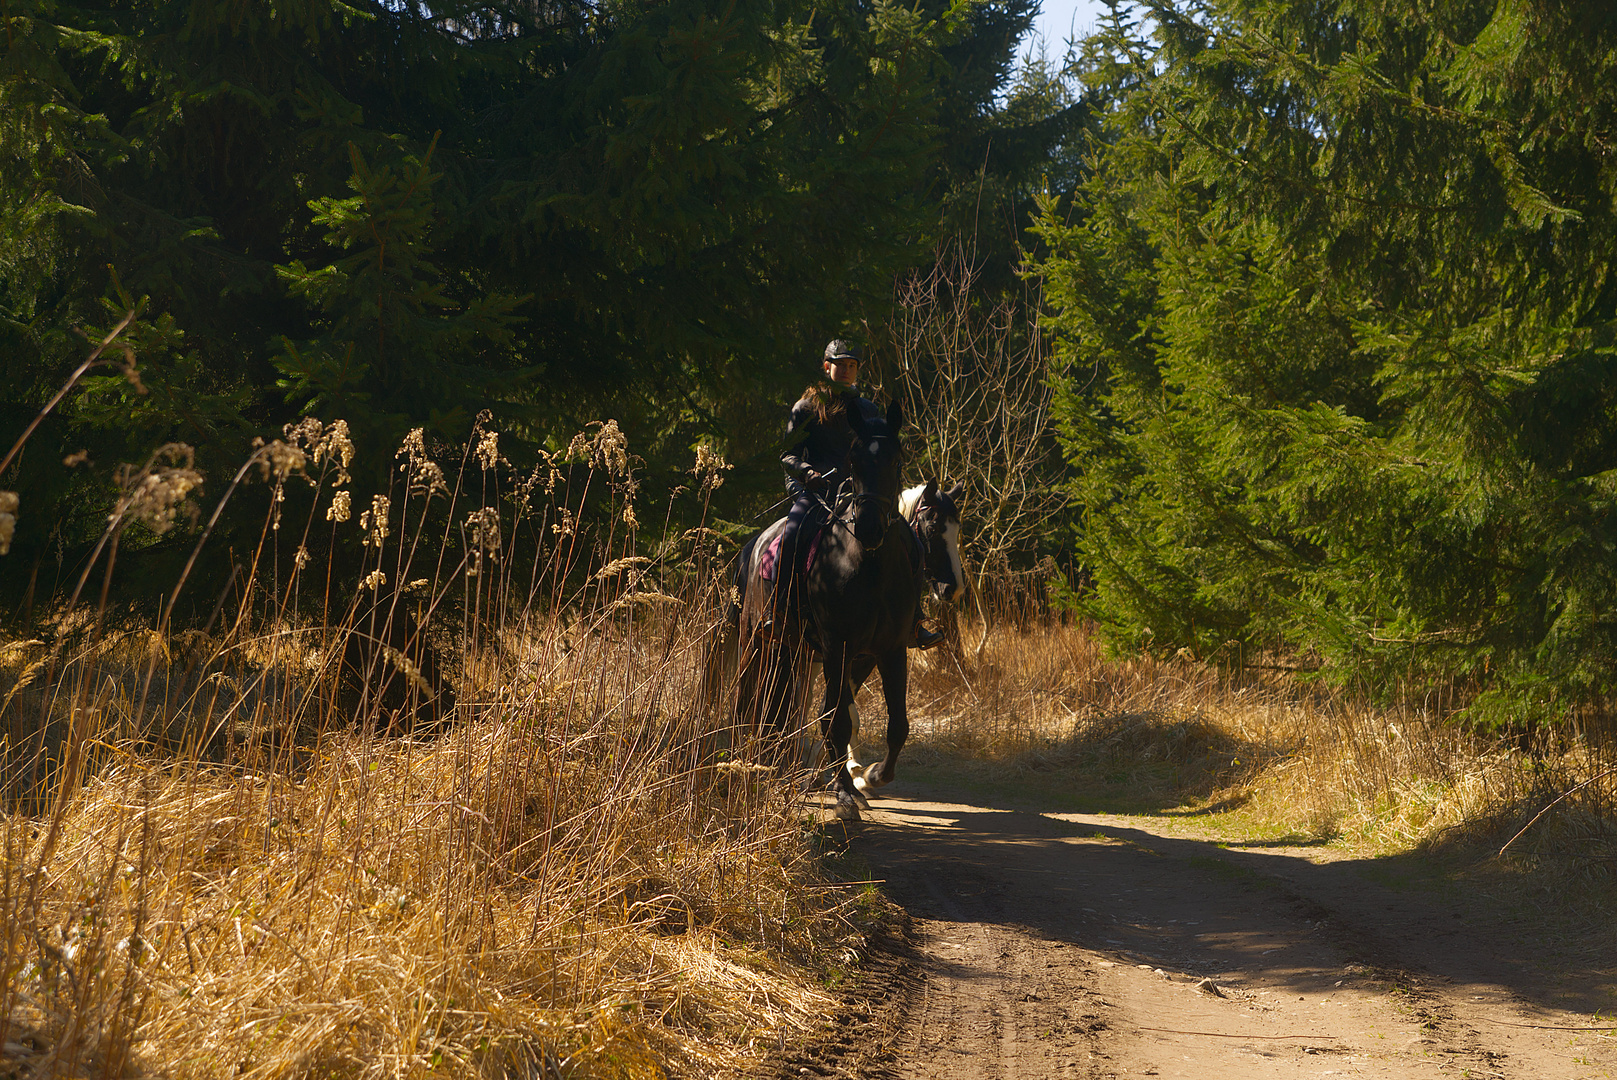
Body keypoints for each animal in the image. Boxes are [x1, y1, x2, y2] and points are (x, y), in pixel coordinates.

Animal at [727, 394, 944, 818]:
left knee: (777, 711)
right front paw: (844, 794)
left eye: (896, 460)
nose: (870, 527)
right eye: (855, 461)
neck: (870, 566)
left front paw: (872, 775)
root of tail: (753, 547)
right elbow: (837, 720)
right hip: (755, 643)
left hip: (790, 650)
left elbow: (897, 725)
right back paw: (744, 761)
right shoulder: (837, 647)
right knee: (748, 700)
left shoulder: (890, 650)